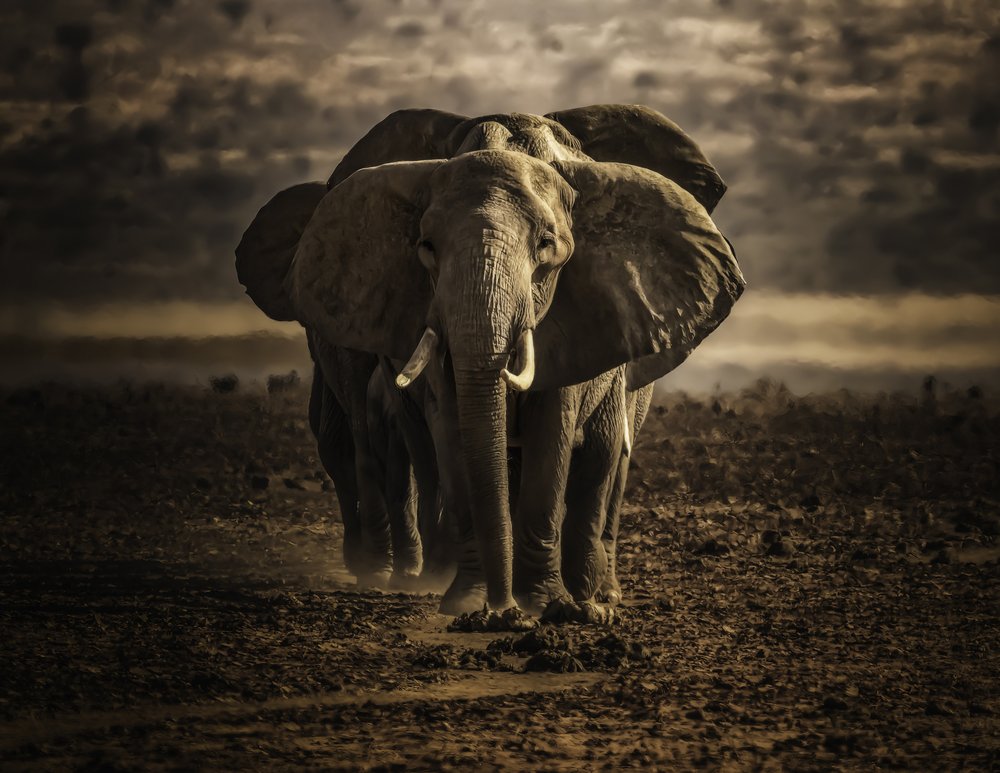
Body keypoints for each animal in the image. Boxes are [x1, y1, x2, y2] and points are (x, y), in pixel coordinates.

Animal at [236, 105, 744, 616]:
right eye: (427, 247)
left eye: (546, 245)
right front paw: (466, 602)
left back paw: (595, 596)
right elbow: (450, 431)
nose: (500, 612)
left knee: (602, 456)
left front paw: (543, 605)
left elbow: (553, 431)